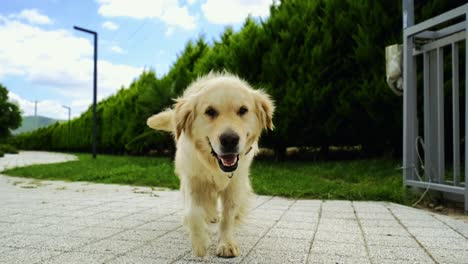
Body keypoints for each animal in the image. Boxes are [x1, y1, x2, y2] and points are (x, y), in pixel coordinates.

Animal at [147, 72, 274, 258]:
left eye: (243, 110)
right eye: (210, 112)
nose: (229, 140)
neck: (214, 164)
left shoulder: (235, 183)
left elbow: (228, 216)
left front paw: (226, 244)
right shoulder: (193, 178)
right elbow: (193, 212)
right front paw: (200, 242)